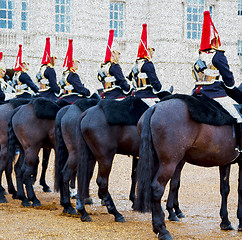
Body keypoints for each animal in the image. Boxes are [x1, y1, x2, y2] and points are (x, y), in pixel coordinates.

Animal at [134, 94, 242, 240]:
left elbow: (225, 190)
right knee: (157, 188)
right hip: (169, 163)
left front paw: (225, 222)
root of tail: (155, 107)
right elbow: (240, 190)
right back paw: (162, 230)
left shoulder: (225, 162)